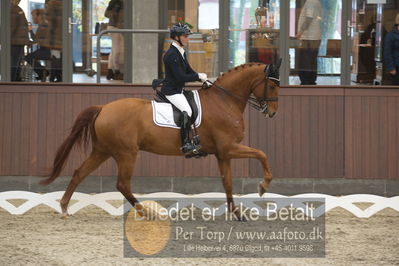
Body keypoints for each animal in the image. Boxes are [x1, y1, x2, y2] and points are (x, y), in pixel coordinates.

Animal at [41, 61, 282, 218]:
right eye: (272, 85)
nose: (272, 112)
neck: (224, 101)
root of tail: (103, 108)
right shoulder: (229, 148)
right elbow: (262, 154)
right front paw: (263, 186)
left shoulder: (222, 154)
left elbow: (228, 183)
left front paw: (237, 214)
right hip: (126, 153)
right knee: (122, 184)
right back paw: (147, 213)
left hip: (102, 151)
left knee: (79, 173)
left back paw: (64, 207)